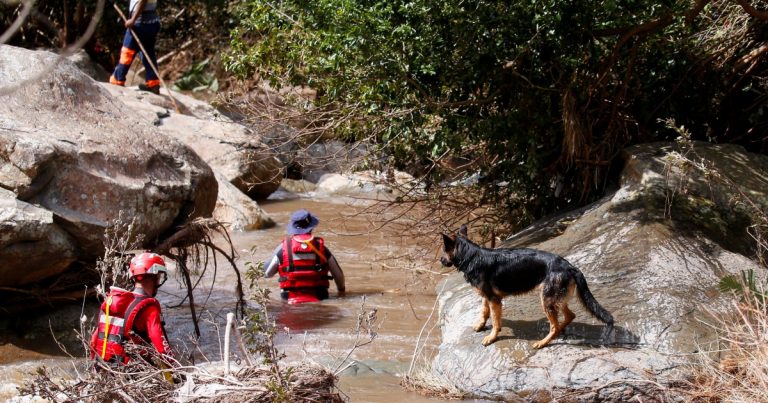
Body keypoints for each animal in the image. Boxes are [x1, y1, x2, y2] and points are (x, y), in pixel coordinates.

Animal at [438, 226, 612, 348]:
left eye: (443, 250)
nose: (440, 260)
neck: (471, 256)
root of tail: (570, 266)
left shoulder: (494, 300)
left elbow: (495, 321)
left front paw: (492, 337)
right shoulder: (488, 297)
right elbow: (484, 311)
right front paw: (480, 325)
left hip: (546, 301)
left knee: (554, 326)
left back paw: (543, 342)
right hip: (555, 300)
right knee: (569, 316)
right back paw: (560, 330)